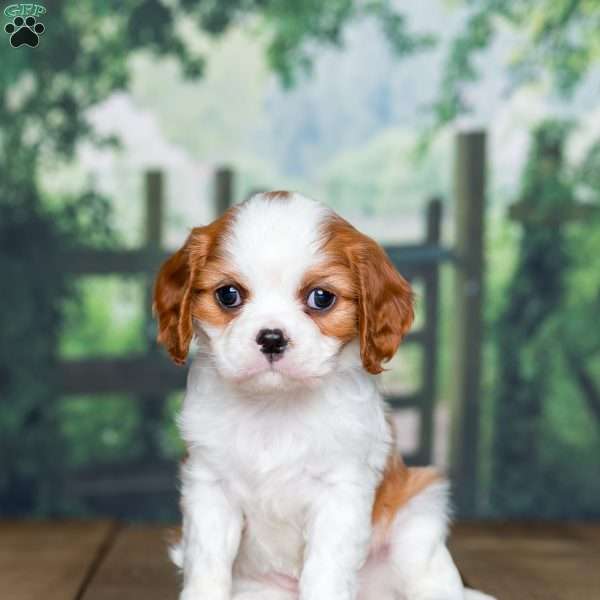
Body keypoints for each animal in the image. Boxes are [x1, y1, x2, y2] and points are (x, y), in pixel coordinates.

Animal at [154, 193, 492, 600]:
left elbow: (325, 569)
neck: (275, 406)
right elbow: (207, 565)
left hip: (417, 516)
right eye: (228, 294)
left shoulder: (341, 491)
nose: (272, 338)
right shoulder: (209, 487)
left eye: (321, 298)